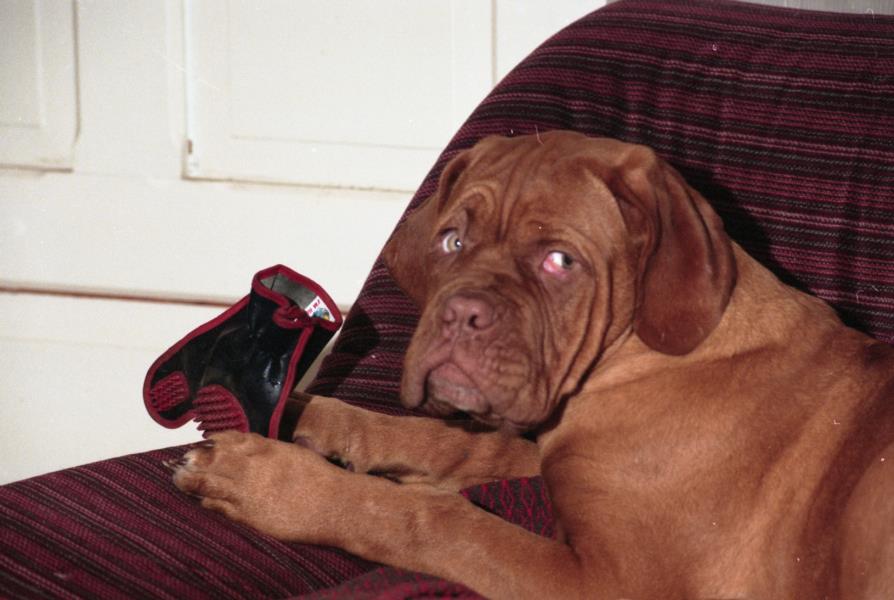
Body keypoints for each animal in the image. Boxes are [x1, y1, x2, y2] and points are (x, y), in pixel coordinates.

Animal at [173, 131, 894, 599]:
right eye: (452, 241)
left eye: (559, 261)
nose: (460, 314)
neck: (638, 358)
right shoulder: (544, 455)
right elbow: (454, 443)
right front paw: (307, 415)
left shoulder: (614, 584)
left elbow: (439, 522)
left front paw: (274, 483)